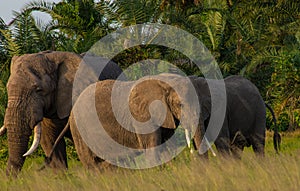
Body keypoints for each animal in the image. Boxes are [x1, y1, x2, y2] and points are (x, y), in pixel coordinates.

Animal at [47, 74, 199, 171]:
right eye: (180, 105)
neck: (163, 82)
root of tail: (71, 114)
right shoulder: (142, 117)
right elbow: (152, 149)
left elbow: (167, 147)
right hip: (80, 131)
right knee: (91, 163)